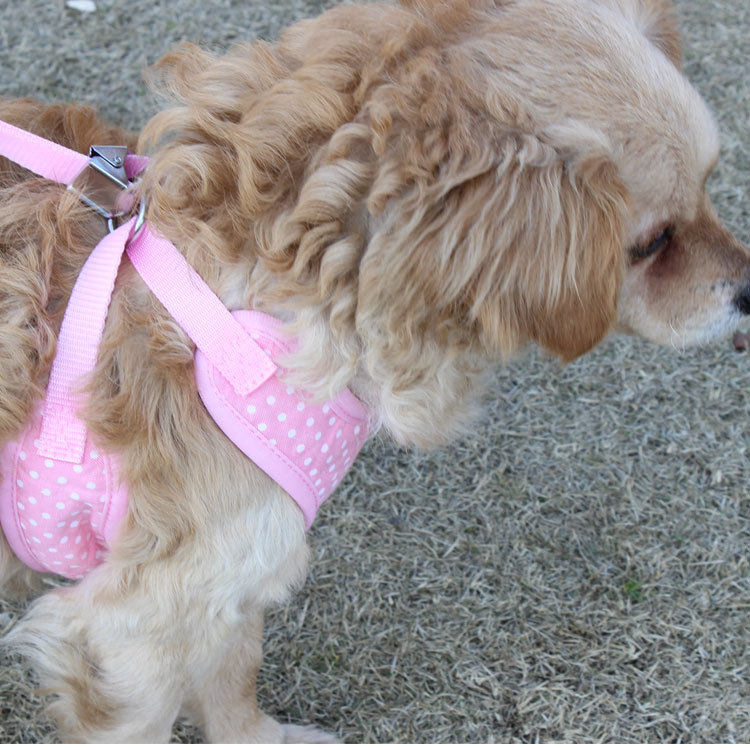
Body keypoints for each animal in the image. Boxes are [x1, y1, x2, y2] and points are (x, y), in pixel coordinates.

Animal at [0, 0, 748, 741]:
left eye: (712, 186)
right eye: (652, 243)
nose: (748, 290)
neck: (264, 309)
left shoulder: (229, 579)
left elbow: (233, 675)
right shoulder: (132, 634)